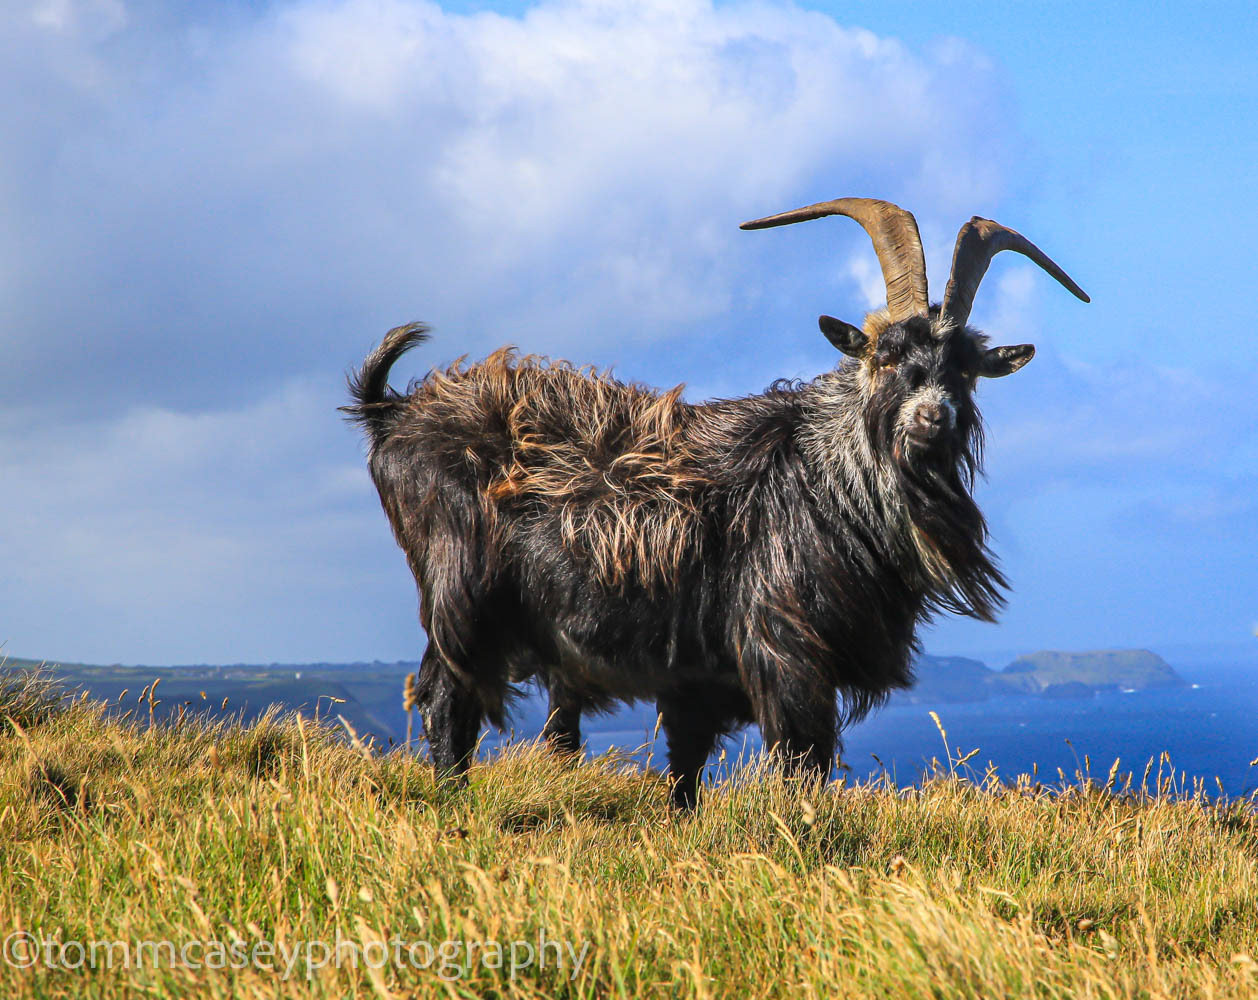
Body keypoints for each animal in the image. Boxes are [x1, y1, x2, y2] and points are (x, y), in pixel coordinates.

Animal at [344, 197, 1088, 807]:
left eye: (965, 367)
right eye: (883, 353)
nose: (933, 416)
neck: (826, 480)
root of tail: (393, 411)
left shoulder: (696, 675)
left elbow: (686, 771)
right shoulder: (786, 652)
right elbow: (799, 765)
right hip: (460, 592)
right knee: (446, 699)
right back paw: (453, 804)